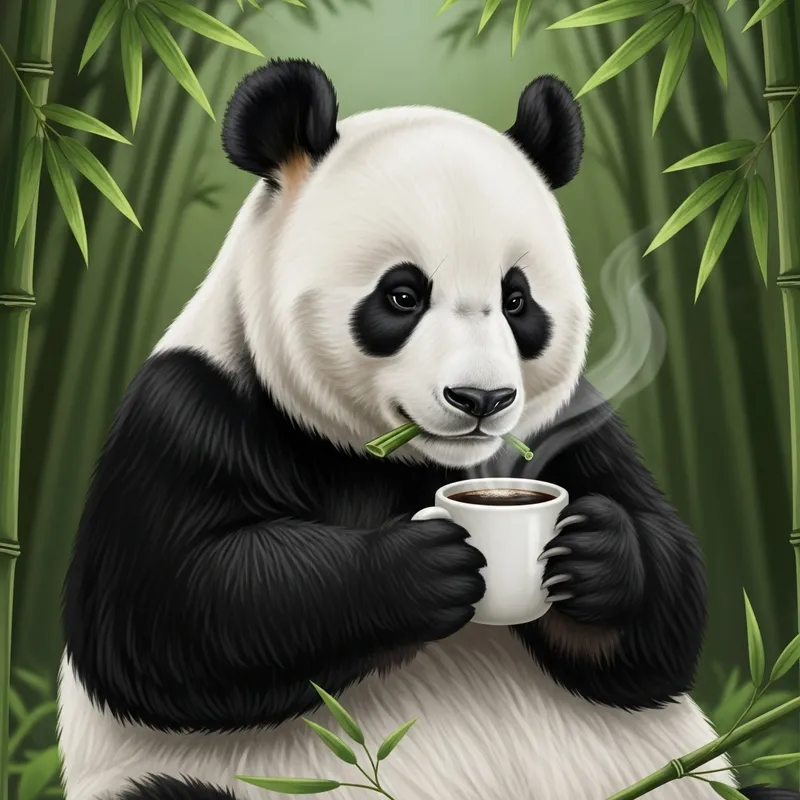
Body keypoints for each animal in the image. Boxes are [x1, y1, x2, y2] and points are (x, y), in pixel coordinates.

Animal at [56, 59, 798, 800]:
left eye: (516, 299)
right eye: (402, 295)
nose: (482, 398)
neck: (404, 463)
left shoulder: (572, 424)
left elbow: (660, 633)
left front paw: (595, 553)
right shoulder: (187, 409)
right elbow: (167, 614)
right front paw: (417, 570)